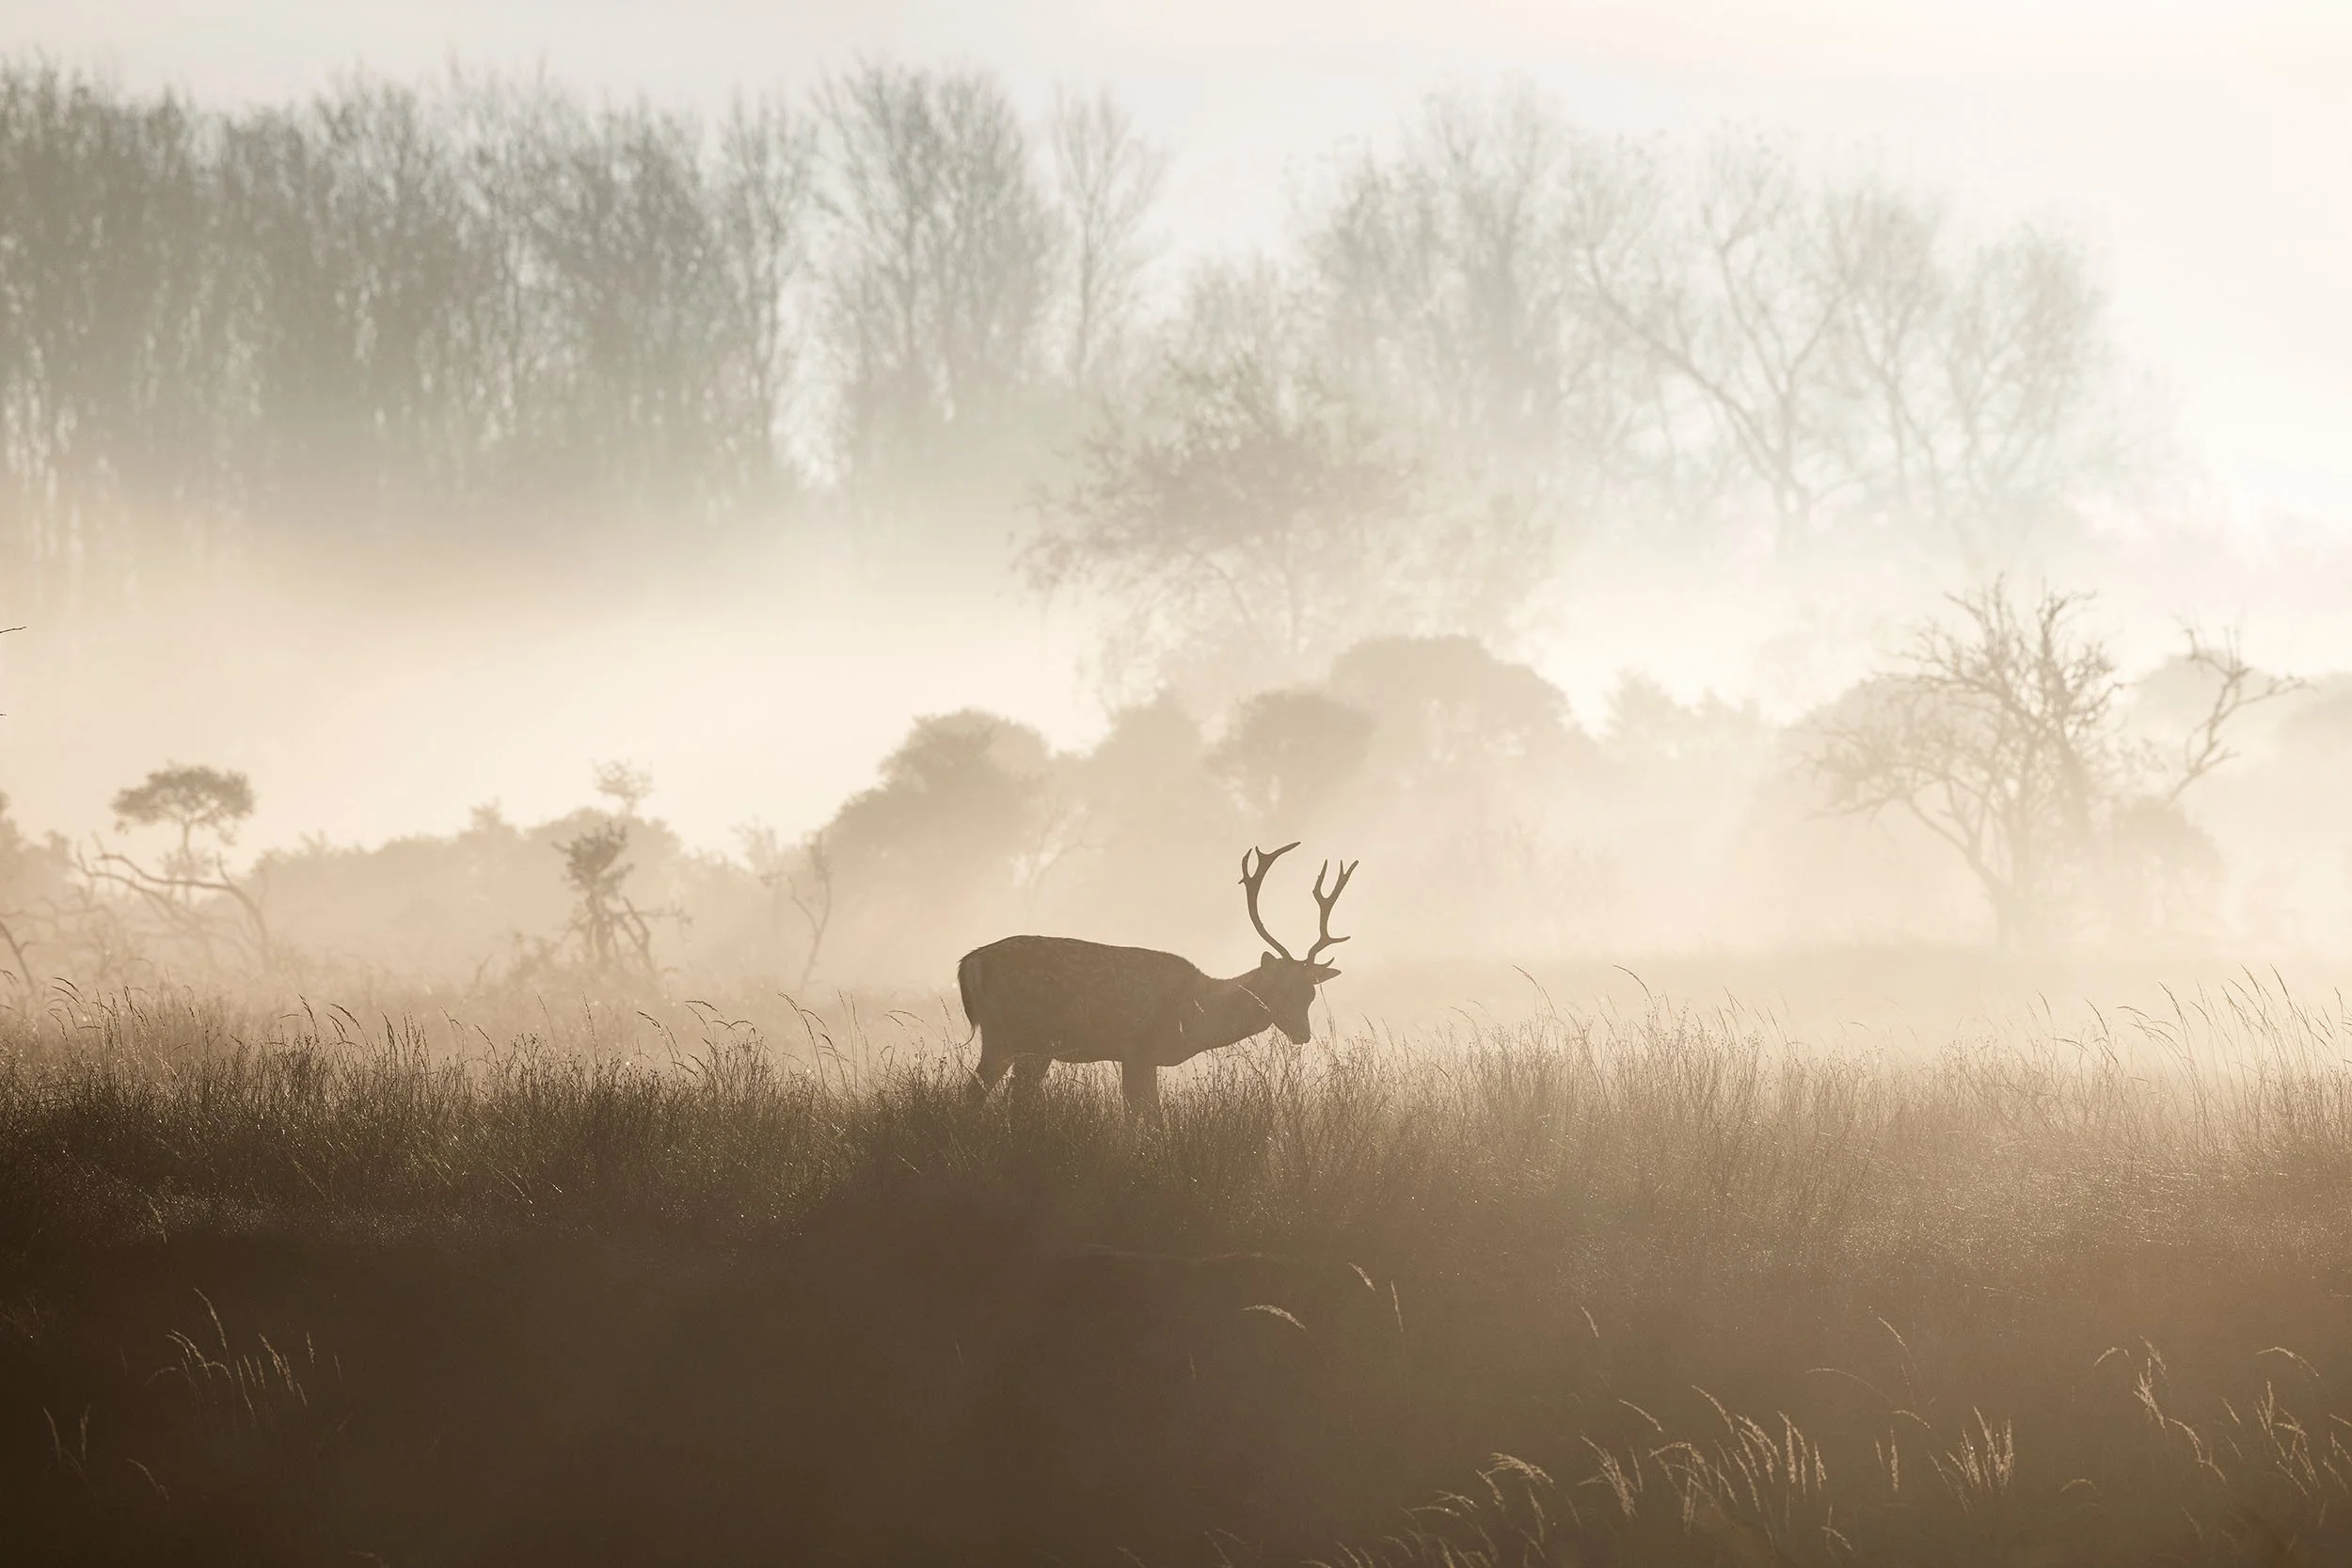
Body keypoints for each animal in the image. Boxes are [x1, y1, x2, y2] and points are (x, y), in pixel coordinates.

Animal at [958, 843, 1358, 1113]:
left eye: (1310, 994)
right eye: (1280, 990)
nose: (1303, 1035)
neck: (1194, 1015)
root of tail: (969, 963)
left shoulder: (1140, 1058)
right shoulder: (1136, 1048)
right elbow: (1144, 1117)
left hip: (1016, 1041)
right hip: (1022, 1035)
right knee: (990, 1098)